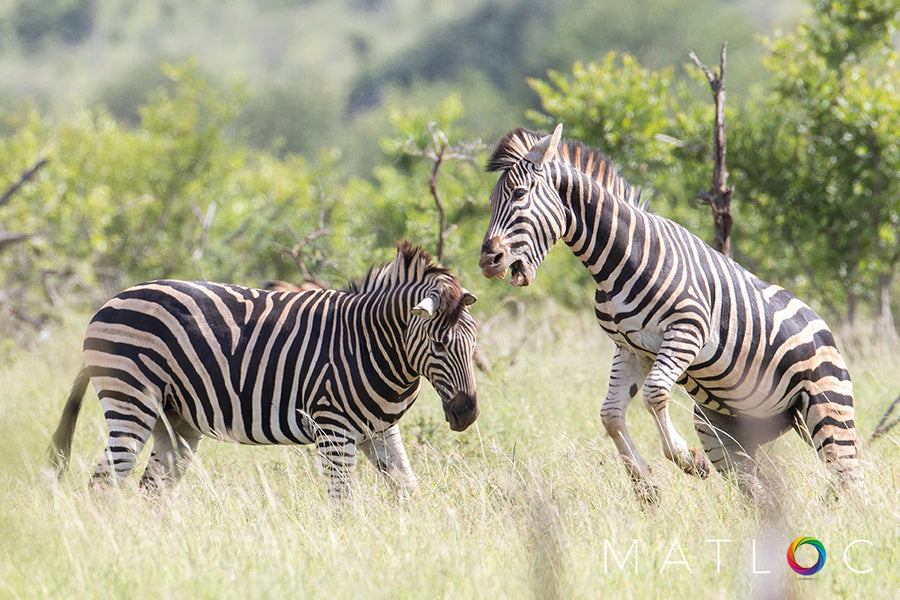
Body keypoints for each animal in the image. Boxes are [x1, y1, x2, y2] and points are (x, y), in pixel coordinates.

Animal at [51, 241, 478, 500]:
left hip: (176, 421)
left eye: (474, 346)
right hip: (131, 402)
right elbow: (342, 501)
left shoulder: (380, 430)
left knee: (150, 489)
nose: (467, 414)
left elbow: (407, 489)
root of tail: (109, 302)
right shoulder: (333, 429)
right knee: (105, 482)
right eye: (440, 345)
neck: (371, 343)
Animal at [482, 125, 860, 502]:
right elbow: (611, 414)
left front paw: (685, 458)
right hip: (723, 429)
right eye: (490, 202)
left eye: (519, 195)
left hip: (826, 409)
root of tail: (823, 327)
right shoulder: (630, 348)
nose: (487, 260)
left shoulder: (687, 331)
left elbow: (654, 394)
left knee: (849, 480)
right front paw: (643, 483)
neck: (619, 258)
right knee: (758, 493)